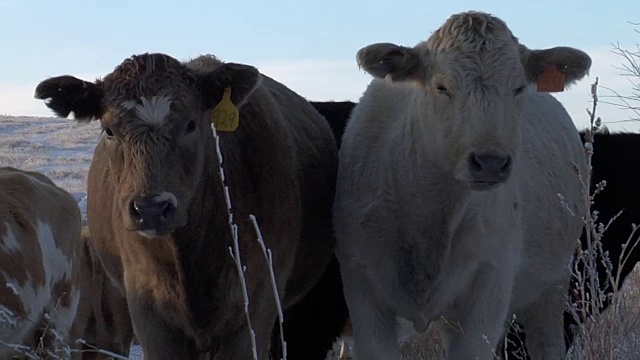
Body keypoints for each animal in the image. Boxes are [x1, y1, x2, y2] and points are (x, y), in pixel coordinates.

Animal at [336, 11, 592, 360]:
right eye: (442, 86)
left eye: (518, 88)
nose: (490, 161)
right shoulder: (362, 289)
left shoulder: (488, 288)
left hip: (553, 284)